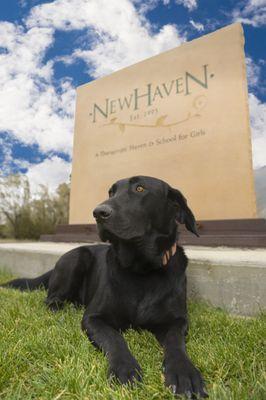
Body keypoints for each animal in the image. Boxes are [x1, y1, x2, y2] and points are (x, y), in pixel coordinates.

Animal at [3, 177, 209, 398]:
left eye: (140, 188)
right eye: (111, 192)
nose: (98, 212)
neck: (141, 270)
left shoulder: (177, 321)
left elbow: (175, 343)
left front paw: (184, 372)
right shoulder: (94, 318)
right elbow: (115, 339)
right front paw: (124, 368)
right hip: (77, 258)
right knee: (51, 300)